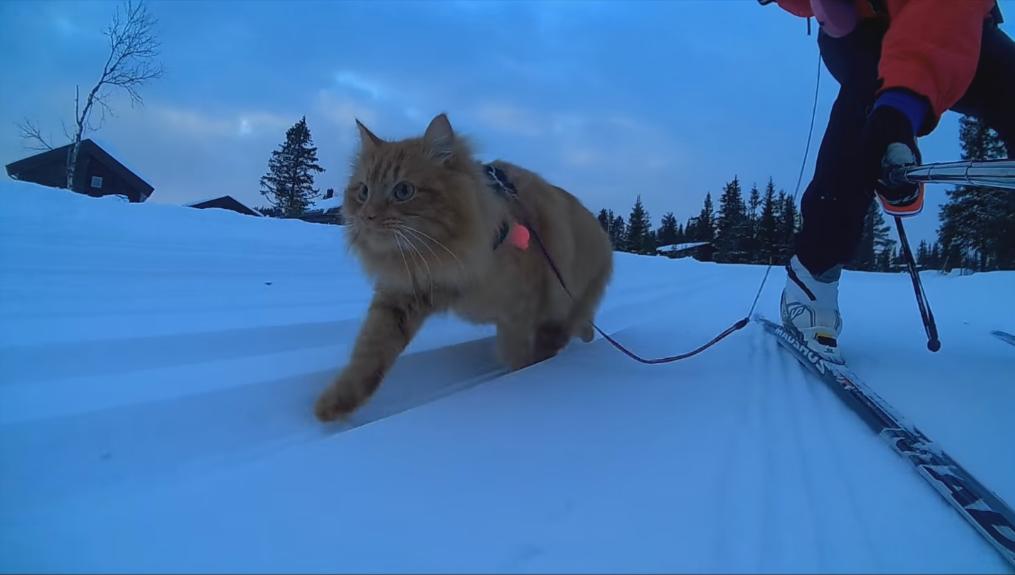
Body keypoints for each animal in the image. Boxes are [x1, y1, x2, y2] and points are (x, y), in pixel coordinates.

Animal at [314, 113, 609, 423]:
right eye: (363, 191)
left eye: (403, 190)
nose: (367, 216)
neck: (442, 258)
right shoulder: (401, 296)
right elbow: (369, 355)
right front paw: (335, 403)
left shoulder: (520, 312)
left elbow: (517, 356)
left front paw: (520, 375)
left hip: (562, 307)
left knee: (563, 334)